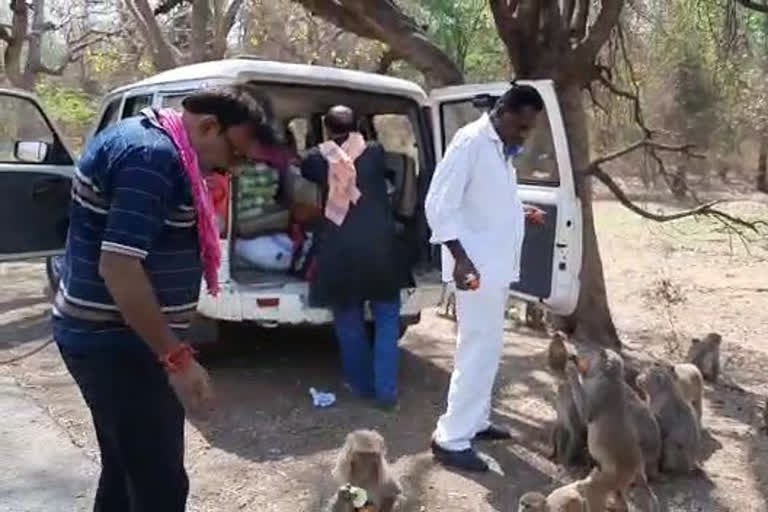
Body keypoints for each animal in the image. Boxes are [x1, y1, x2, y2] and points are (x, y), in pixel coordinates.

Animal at [564, 348, 660, 512]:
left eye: (599, 353)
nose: (577, 355)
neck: (611, 377)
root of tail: (637, 468)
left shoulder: (601, 390)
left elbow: (587, 414)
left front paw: (572, 370)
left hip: (614, 476)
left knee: (593, 488)